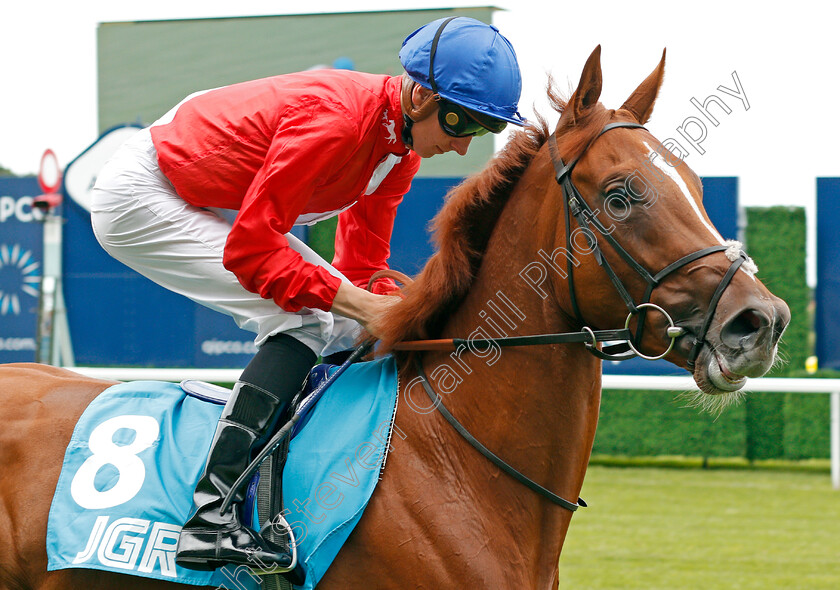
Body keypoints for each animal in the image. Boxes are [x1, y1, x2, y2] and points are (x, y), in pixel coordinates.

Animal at [0, 47, 788, 590]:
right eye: (623, 195)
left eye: (695, 186)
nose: (762, 321)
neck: (448, 458)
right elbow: (258, 242)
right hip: (136, 215)